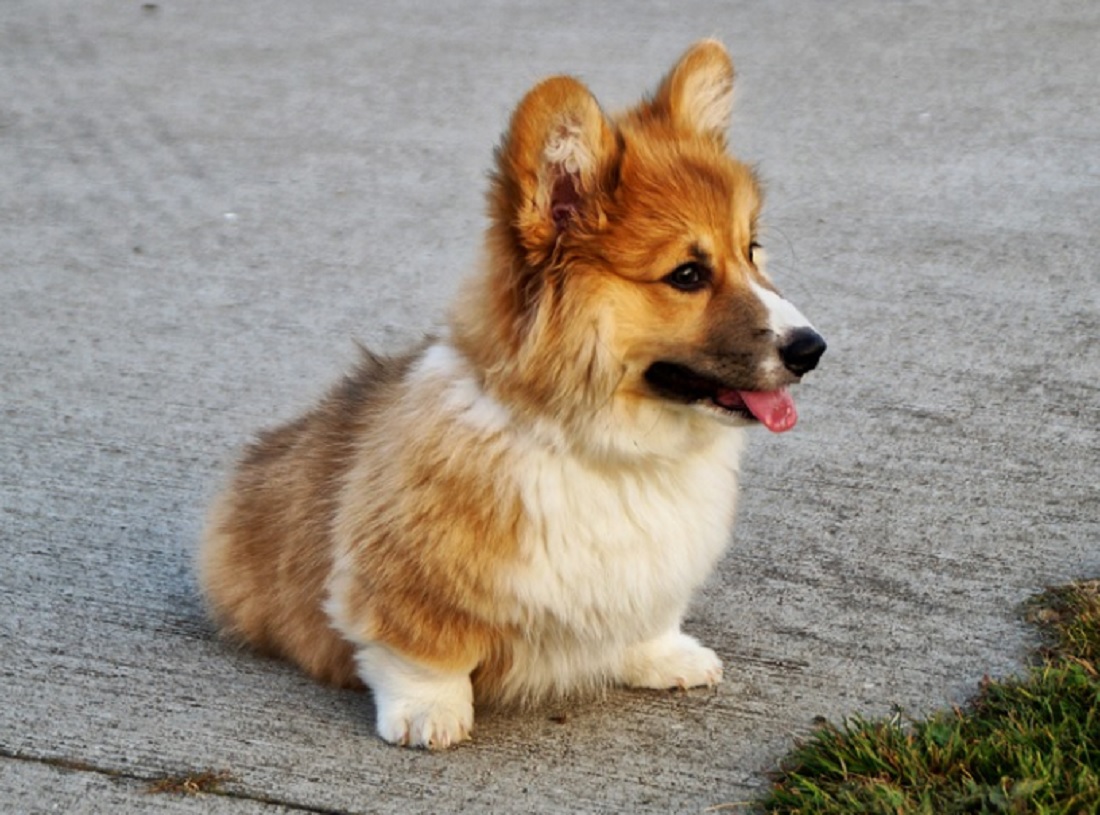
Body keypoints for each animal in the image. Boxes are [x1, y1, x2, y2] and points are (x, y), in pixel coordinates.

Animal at [198, 39, 822, 752]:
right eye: (688, 275)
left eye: (752, 250)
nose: (813, 349)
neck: (607, 451)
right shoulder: (406, 578)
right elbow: (418, 651)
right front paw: (430, 710)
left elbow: (645, 617)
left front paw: (663, 655)